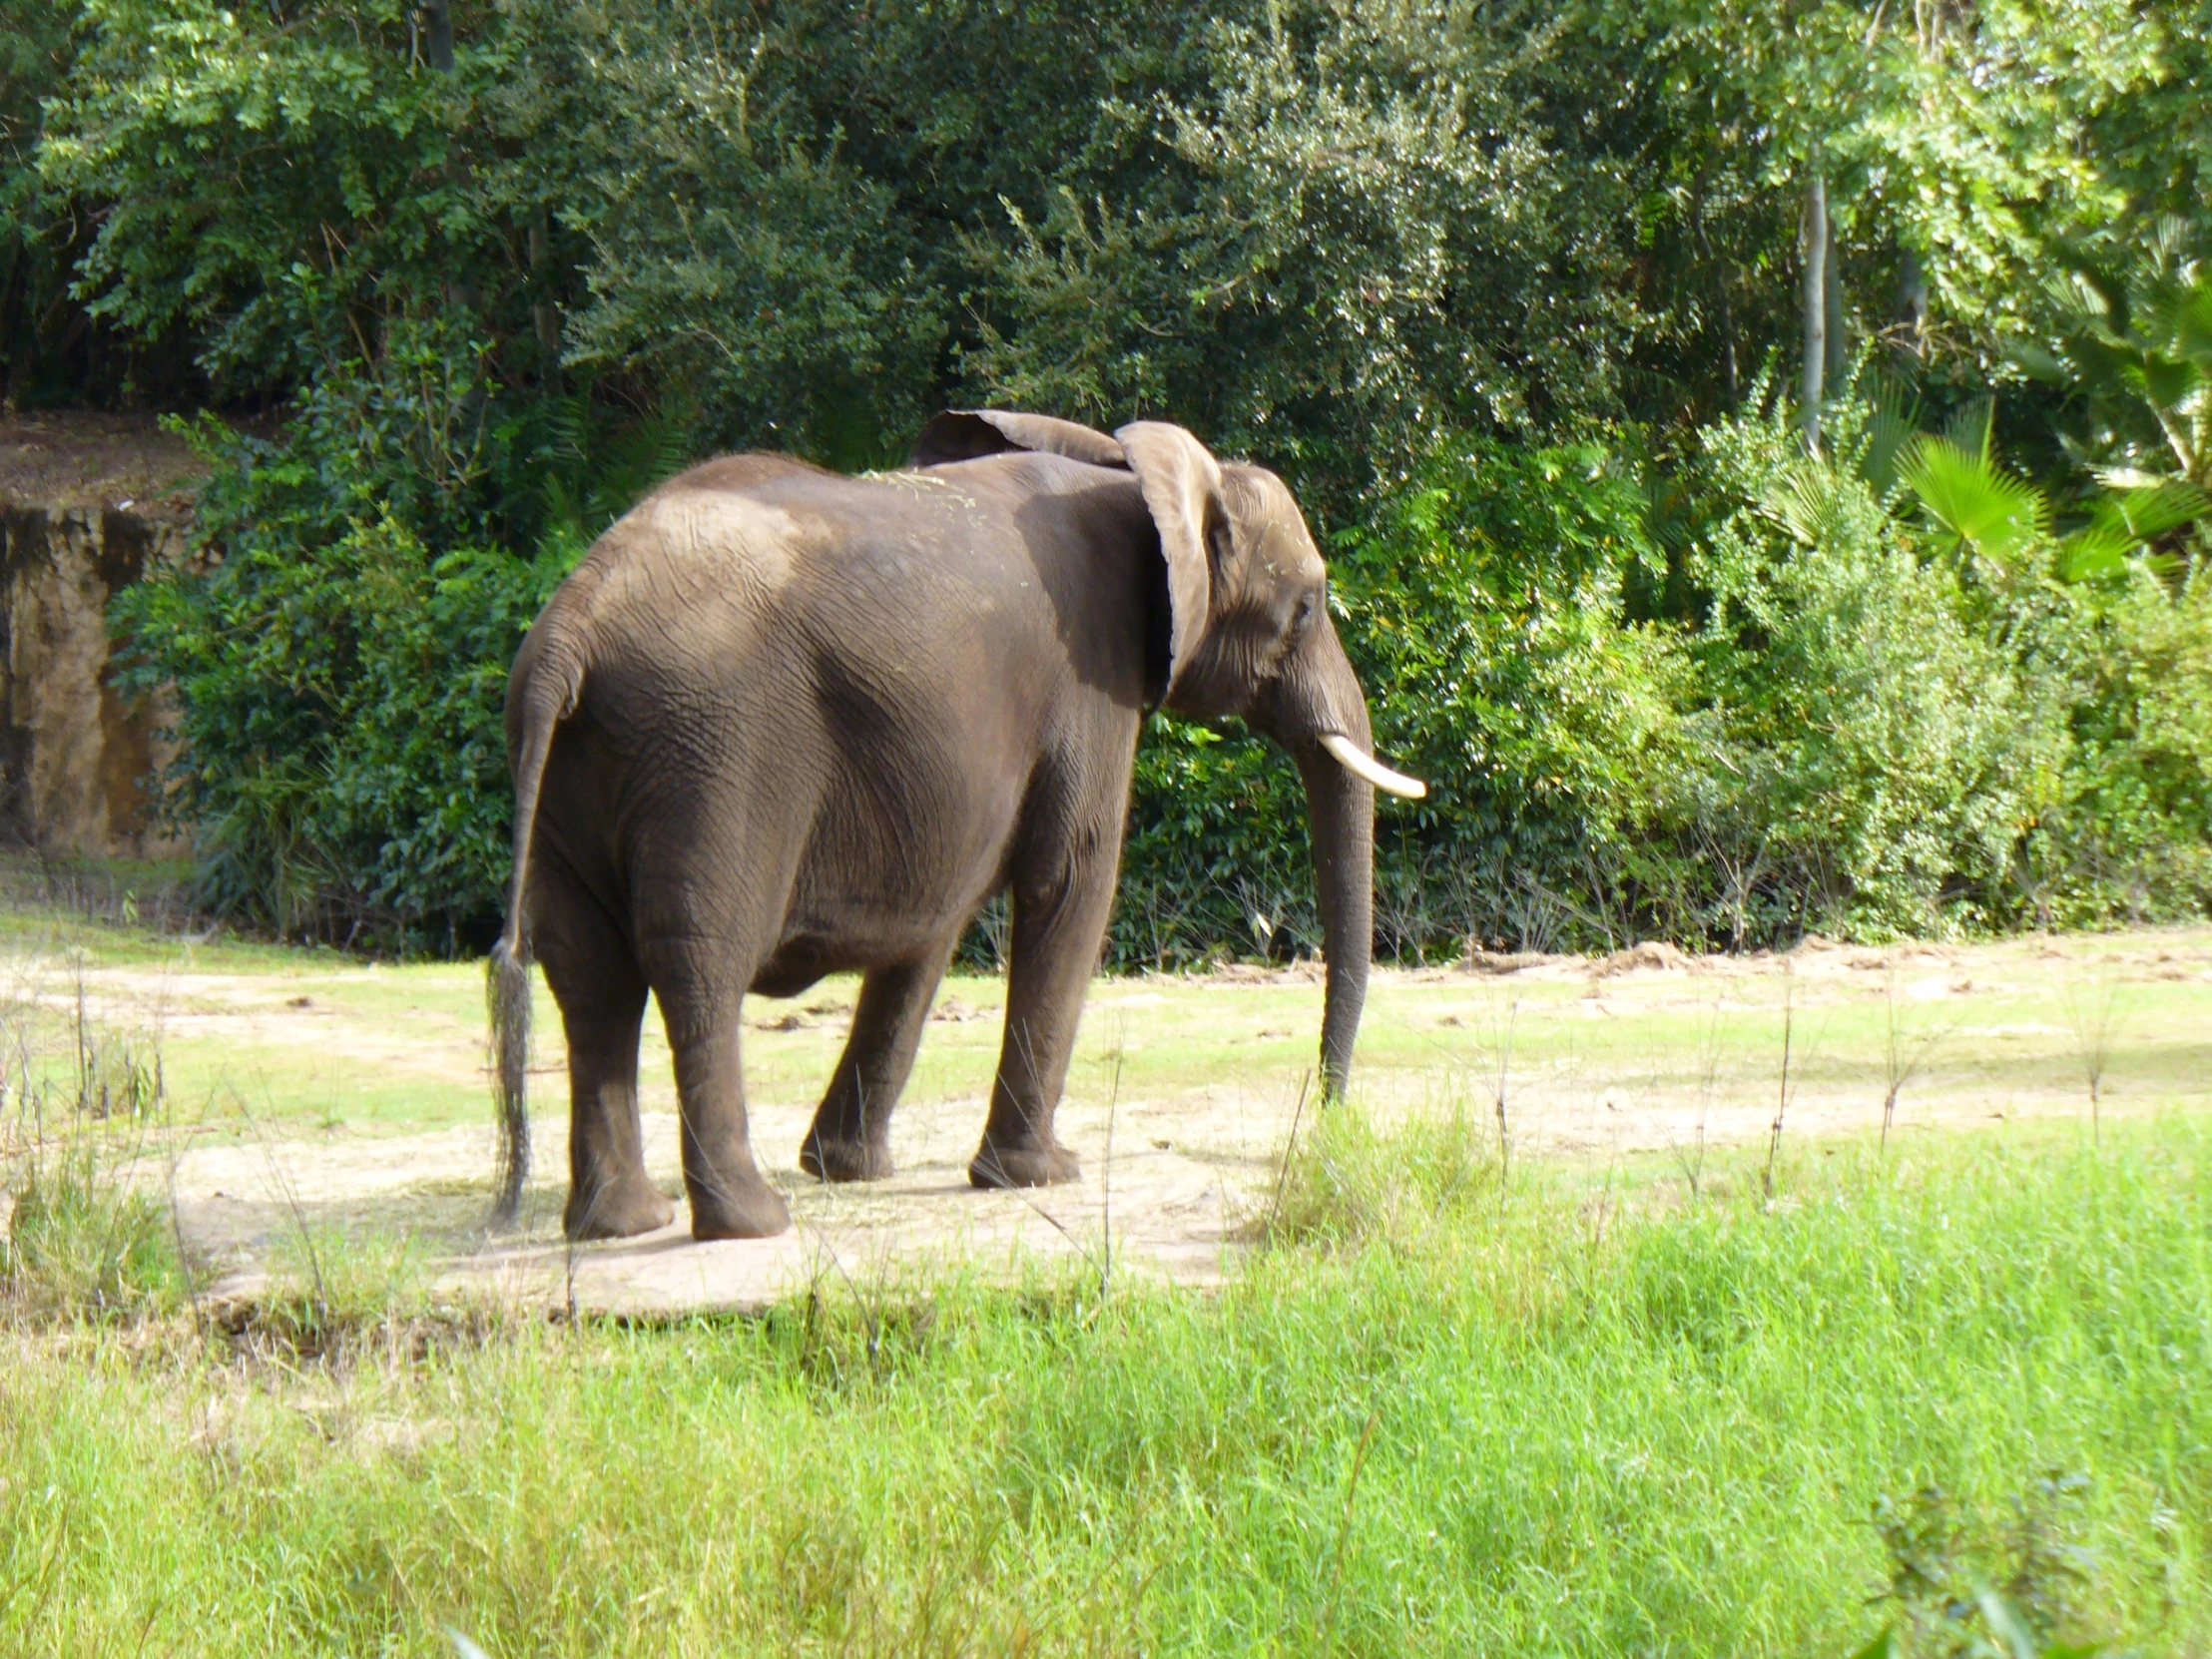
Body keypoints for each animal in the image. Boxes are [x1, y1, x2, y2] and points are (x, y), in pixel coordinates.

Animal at [486, 408, 1424, 1238]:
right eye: (1307, 608)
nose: (1326, 1117)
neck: (1133, 471)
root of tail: (573, 627)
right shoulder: (1091, 679)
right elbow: (1071, 877)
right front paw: (1041, 1176)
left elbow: (933, 924)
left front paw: (852, 1170)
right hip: (715, 751)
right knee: (697, 965)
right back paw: (750, 1222)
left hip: (583, 765)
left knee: (589, 976)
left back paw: (621, 1224)